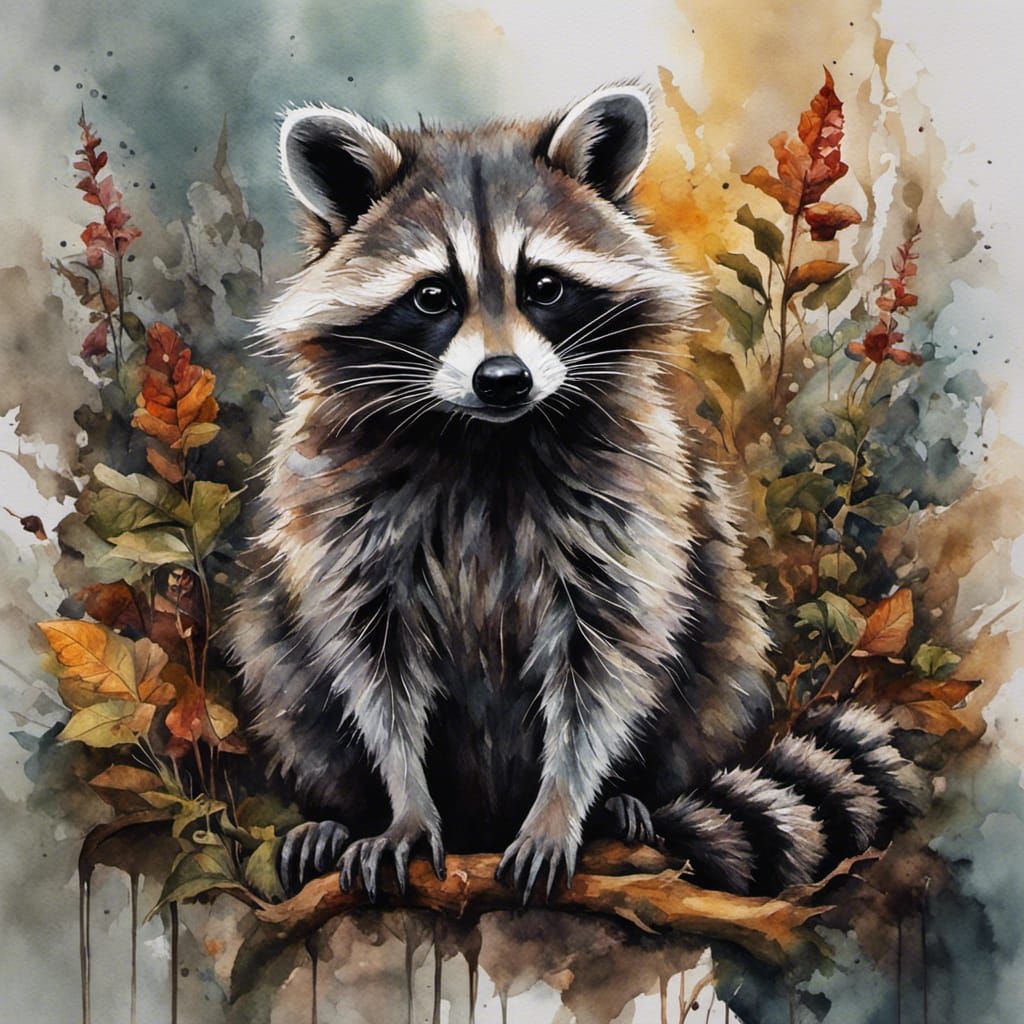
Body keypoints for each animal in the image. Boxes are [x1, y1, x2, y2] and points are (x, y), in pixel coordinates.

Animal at [227, 86, 926, 903]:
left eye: (544, 286)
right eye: (433, 296)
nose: (503, 379)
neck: (485, 439)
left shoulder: (628, 496)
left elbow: (604, 659)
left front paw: (563, 803)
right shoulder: (344, 510)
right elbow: (375, 667)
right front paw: (403, 802)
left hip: (717, 627)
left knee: (718, 641)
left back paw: (626, 800)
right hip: (276, 650)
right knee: (281, 655)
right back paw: (338, 815)